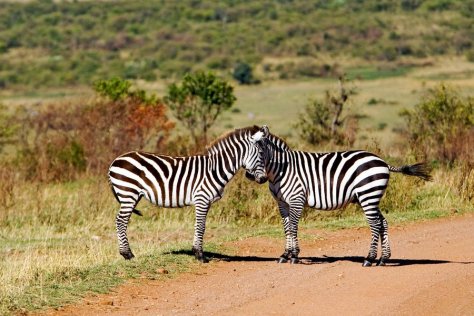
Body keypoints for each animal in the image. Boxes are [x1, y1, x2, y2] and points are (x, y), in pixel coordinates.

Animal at [108, 125, 270, 262]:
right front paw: (200, 255)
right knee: (120, 221)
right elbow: (201, 226)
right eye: (261, 154)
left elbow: (200, 225)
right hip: (128, 193)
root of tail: (116, 160)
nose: (264, 179)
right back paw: (127, 254)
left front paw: (197, 252)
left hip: (133, 195)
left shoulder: (206, 202)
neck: (215, 169)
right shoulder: (202, 199)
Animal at [248, 126, 434, 266]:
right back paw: (383, 259)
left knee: (375, 224)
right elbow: (286, 227)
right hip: (369, 197)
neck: (282, 169)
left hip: (368, 195)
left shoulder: (297, 199)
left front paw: (294, 255)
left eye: (260, 153)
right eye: (247, 154)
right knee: (383, 222)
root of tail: (383, 162)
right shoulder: (282, 202)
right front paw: (285, 255)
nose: (253, 177)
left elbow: (293, 227)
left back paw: (369, 259)